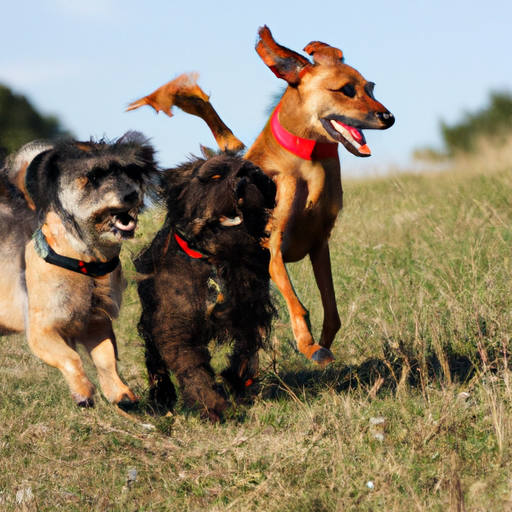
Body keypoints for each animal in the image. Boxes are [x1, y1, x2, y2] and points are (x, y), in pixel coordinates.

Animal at [0, 133, 156, 408]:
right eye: (93, 177)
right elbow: (71, 358)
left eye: (131, 172)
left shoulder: (97, 324)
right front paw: (83, 392)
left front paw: (121, 395)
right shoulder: (42, 332)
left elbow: (106, 360)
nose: (131, 194)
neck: (87, 265)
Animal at [128, 26, 396, 366]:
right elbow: (294, 299)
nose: (389, 117)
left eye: (370, 87)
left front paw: (322, 343)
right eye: (346, 90)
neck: (306, 162)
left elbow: (331, 307)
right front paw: (307, 343)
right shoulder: (274, 246)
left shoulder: (320, 244)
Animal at [134, 152, 274, 420]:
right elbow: (193, 367)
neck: (215, 262)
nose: (245, 175)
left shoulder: (252, 316)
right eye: (215, 175)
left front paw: (232, 383)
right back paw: (161, 398)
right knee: (155, 362)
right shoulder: (176, 329)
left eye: (254, 175)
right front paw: (213, 405)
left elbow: (245, 353)